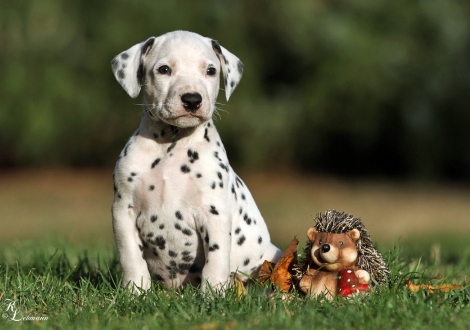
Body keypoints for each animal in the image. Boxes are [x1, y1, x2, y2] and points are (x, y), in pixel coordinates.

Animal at [110, 31, 280, 292]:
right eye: (164, 69)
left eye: (210, 70)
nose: (192, 99)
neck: (171, 145)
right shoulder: (123, 211)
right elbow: (131, 257)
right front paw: (135, 291)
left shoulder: (215, 214)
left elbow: (216, 260)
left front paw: (213, 294)